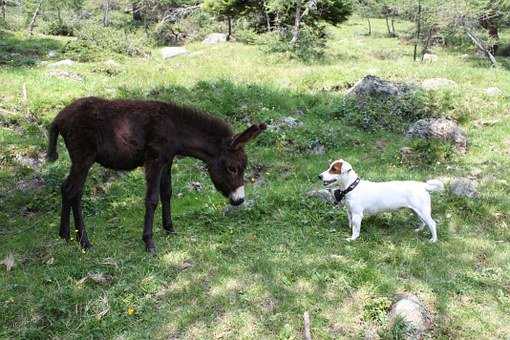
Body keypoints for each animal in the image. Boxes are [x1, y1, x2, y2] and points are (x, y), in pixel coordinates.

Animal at [46, 97, 266, 254]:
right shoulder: (155, 159)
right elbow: (152, 199)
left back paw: (65, 235)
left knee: (68, 190)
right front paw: (149, 242)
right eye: (232, 168)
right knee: (73, 191)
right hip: (84, 159)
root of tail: (59, 118)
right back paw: (84, 241)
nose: (239, 200)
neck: (175, 129)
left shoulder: (167, 160)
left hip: (80, 161)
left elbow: (167, 193)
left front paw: (169, 228)